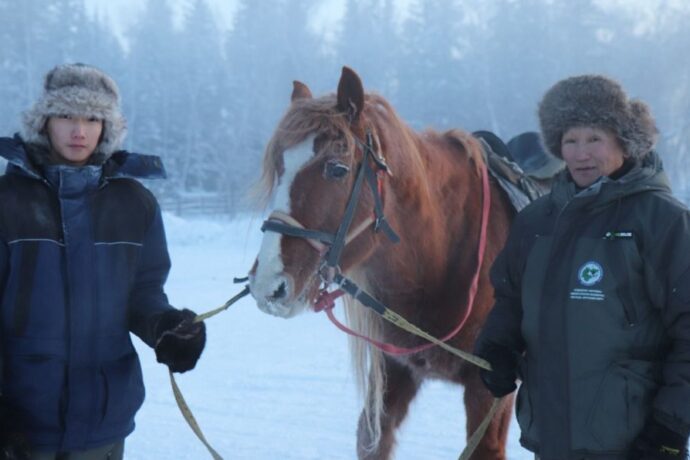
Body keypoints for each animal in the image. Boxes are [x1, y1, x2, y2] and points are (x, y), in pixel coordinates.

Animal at [250, 67, 512, 460]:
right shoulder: (396, 369)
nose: (268, 283)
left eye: (337, 169)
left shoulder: (491, 390)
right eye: (280, 166)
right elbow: (372, 436)